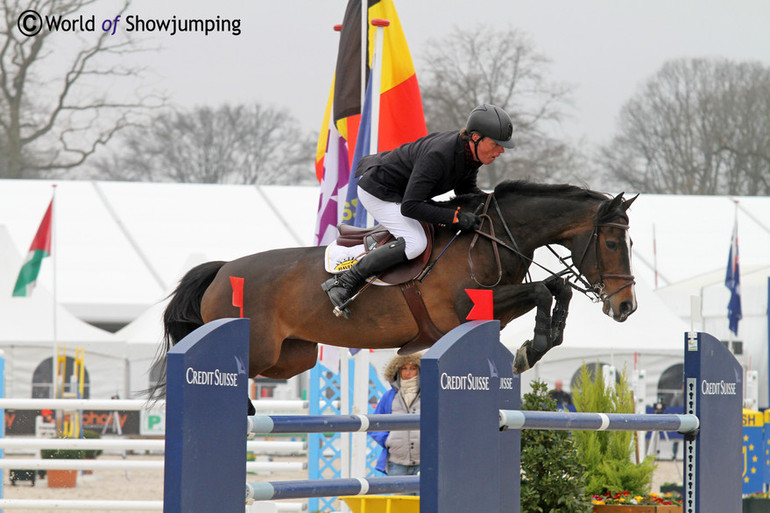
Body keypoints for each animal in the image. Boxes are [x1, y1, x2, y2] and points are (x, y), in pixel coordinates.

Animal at [147, 181, 632, 400]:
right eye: (612, 243)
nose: (627, 306)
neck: (490, 240)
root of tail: (222, 269)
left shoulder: (494, 311)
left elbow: (554, 287)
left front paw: (539, 342)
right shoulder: (466, 310)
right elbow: (543, 292)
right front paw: (530, 349)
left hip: (292, 356)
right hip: (260, 346)